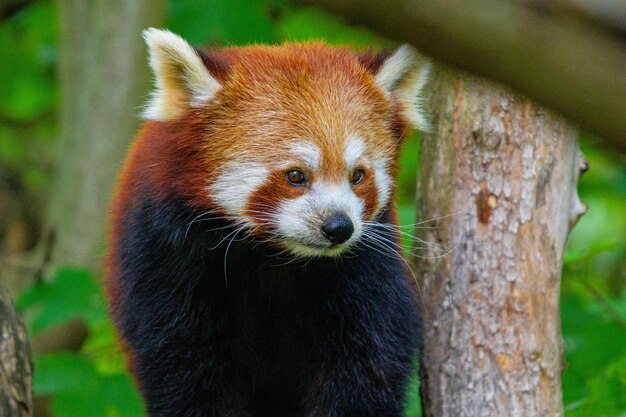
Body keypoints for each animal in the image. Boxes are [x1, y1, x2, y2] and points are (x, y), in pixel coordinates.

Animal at [106, 27, 428, 414]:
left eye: (358, 175)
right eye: (295, 176)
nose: (338, 227)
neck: (274, 256)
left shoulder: (367, 269)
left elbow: (370, 358)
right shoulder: (165, 254)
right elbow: (181, 361)